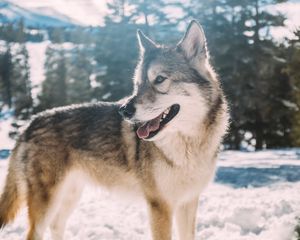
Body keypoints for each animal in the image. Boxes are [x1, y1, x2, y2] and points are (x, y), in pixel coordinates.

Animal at [0, 20, 227, 240]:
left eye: (160, 79)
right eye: (138, 84)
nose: (124, 110)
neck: (189, 145)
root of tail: (30, 123)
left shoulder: (188, 202)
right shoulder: (159, 205)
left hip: (70, 195)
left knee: (56, 225)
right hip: (48, 202)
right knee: (34, 233)